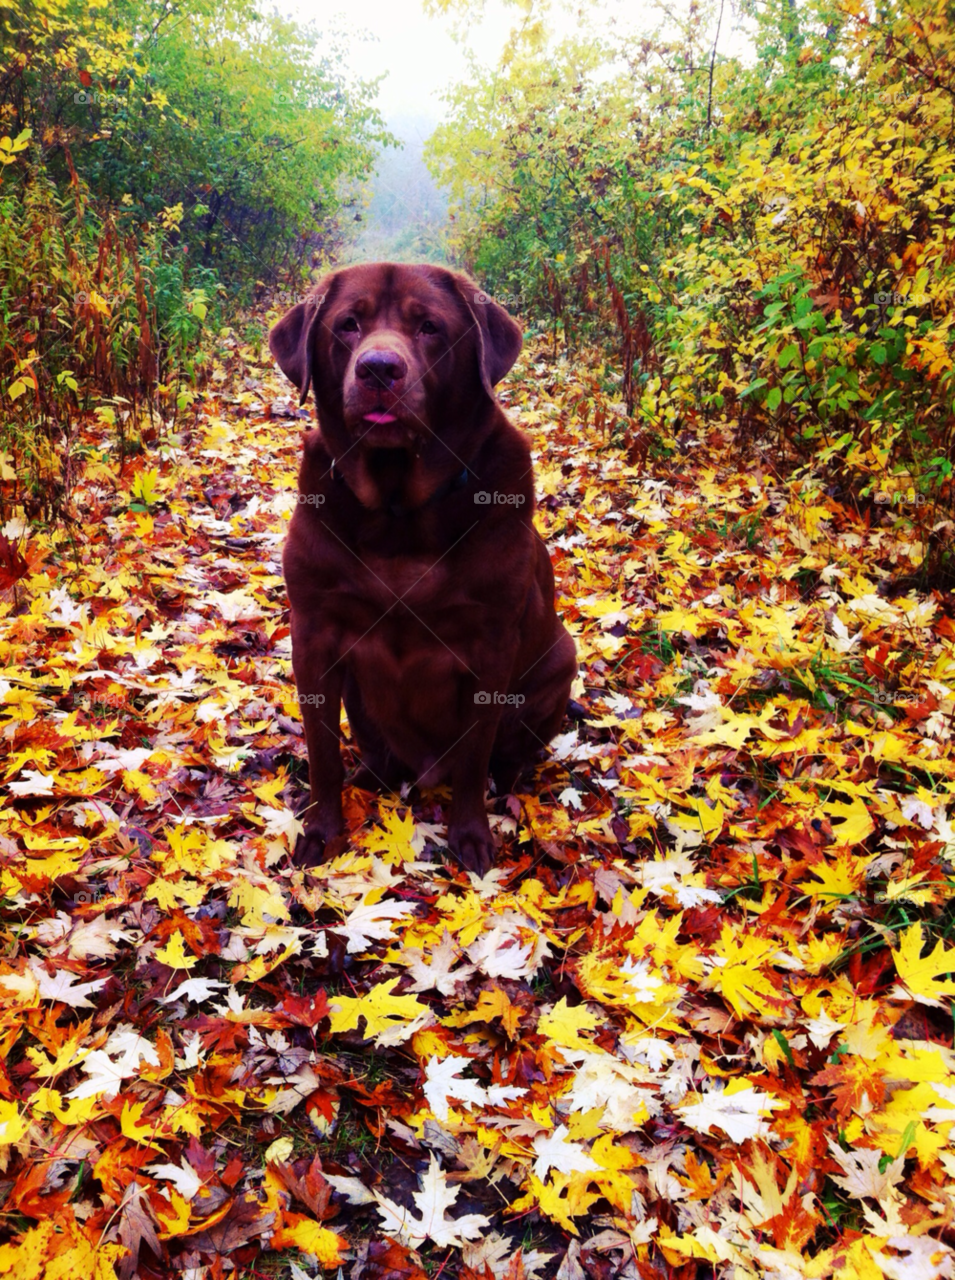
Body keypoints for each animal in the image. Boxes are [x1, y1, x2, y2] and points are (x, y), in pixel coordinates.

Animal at [271, 263, 576, 875]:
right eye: (349, 324)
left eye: (430, 327)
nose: (378, 368)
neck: (398, 513)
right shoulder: (313, 636)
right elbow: (321, 751)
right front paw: (322, 831)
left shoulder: (491, 646)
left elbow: (474, 757)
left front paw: (472, 836)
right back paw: (371, 775)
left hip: (559, 661)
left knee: (508, 754)